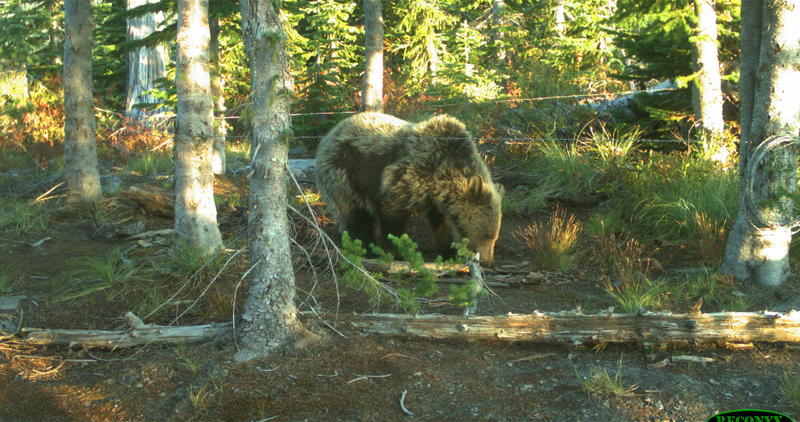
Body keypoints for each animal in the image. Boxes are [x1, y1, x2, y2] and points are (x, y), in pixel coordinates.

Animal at [312, 111, 500, 264]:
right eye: (487, 235)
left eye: (494, 237)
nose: (488, 261)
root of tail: (329, 135)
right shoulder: (410, 174)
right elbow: (392, 213)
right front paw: (395, 251)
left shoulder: (436, 198)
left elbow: (441, 223)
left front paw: (449, 252)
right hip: (344, 172)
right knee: (354, 214)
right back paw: (363, 247)